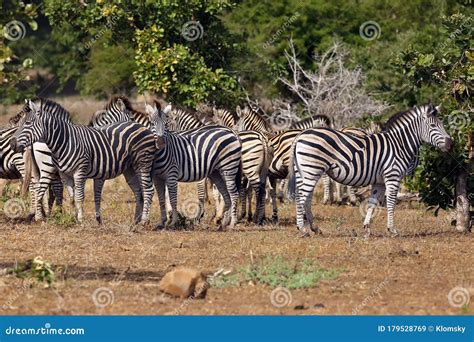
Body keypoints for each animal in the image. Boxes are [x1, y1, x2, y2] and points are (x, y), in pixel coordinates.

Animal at [11, 97, 157, 224]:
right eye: (23, 123)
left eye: (27, 123)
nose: (13, 144)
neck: (64, 140)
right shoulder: (66, 174)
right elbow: (74, 197)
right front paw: (76, 218)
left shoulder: (82, 172)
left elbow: (83, 196)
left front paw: (81, 219)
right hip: (131, 168)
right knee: (140, 190)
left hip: (143, 163)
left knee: (147, 189)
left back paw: (143, 220)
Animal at [144, 101, 243, 230]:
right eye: (152, 123)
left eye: (167, 124)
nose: (160, 143)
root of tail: (231, 132)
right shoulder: (157, 177)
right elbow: (161, 198)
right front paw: (162, 222)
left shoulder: (174, 174)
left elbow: (173, 198)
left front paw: (174, 221)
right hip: (217, 171)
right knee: (226, 194)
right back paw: (223, 222)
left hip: (229, 167)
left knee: (233, 194)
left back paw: (232, 223)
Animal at [286, 104, 454, 236]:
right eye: (433, 126)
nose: (450, 144)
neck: (399, 144)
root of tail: (300, 135)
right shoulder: (392, 177)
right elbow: (391, 203)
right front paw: (392, 229)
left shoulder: (379, 182)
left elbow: (372, 203)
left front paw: (366, 228)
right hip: (311, 170)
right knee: (301, 197)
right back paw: (302, 229)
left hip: (304, 172)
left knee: (305, 198)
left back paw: (314, 228)